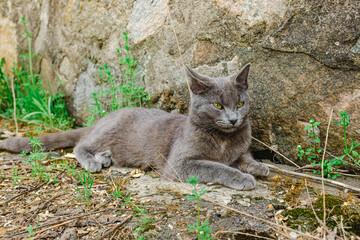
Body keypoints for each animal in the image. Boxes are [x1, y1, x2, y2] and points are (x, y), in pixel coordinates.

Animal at [0, 64, 268, 190]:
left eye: (240, 103)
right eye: (218, 105)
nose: (233, 119)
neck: (223, 139)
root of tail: (102, 118)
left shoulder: (240, 149)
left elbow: (245, 157)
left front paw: (259, 167)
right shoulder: (179, 163)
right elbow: (216, 167)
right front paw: (242, 178)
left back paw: (105, 158)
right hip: (106, 131)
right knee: (80, 145)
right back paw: (94, 161)